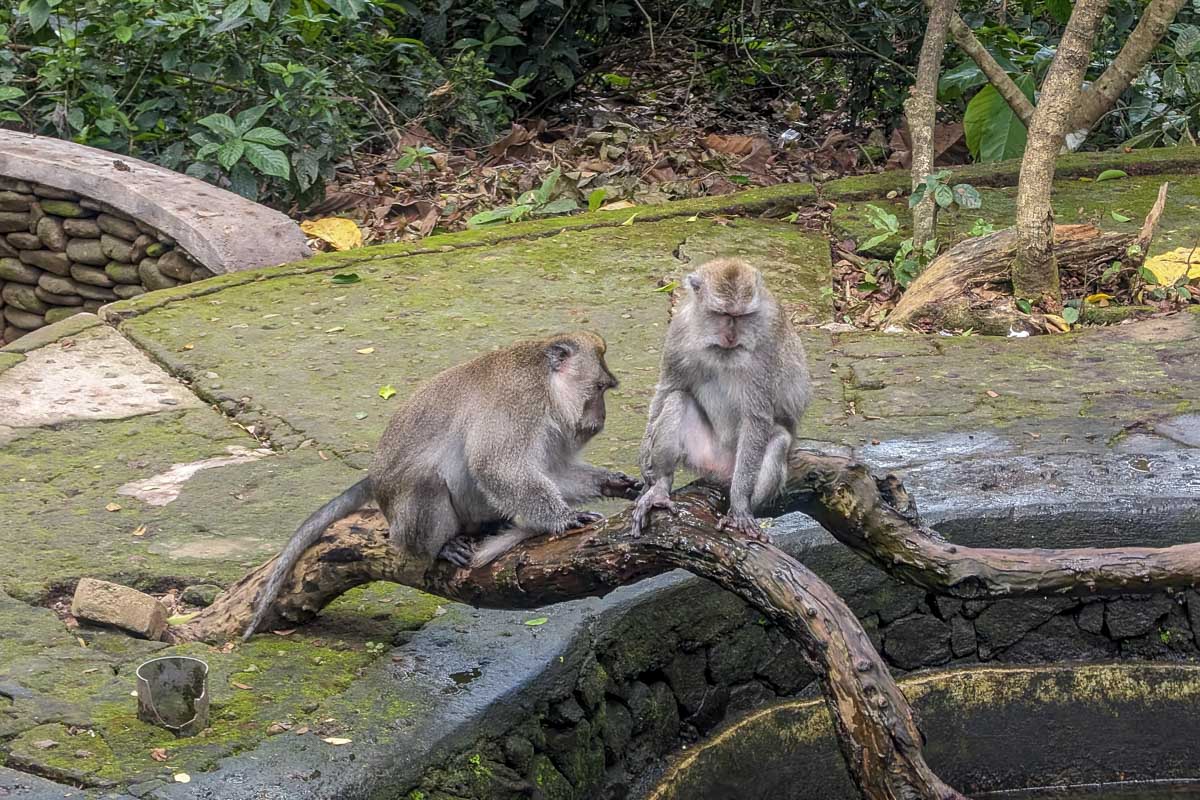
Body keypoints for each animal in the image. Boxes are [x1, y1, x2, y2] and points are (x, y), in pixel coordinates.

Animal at [243, 331, 640, 640]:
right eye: (599, 389)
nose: (601, 420)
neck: (544, 381)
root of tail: (374, 480)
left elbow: (551, 470)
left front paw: (613, 483)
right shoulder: (519, 404)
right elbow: (496, 465)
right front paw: (563, 518)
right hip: (403, 520)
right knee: (426, 482)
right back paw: (440, 546)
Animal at [630, 257, 810, 540]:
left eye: (741, 317)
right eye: (722, 315)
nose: (731, 337)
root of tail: (721, 470)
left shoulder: (768, 342)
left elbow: (756, 418)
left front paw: (740, 507)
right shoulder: (680, 329)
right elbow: (668, 388)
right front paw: (645, 465)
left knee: (779, 438)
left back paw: (739, 506)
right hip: (703, 454)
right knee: (677, 400)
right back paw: (661, 487)